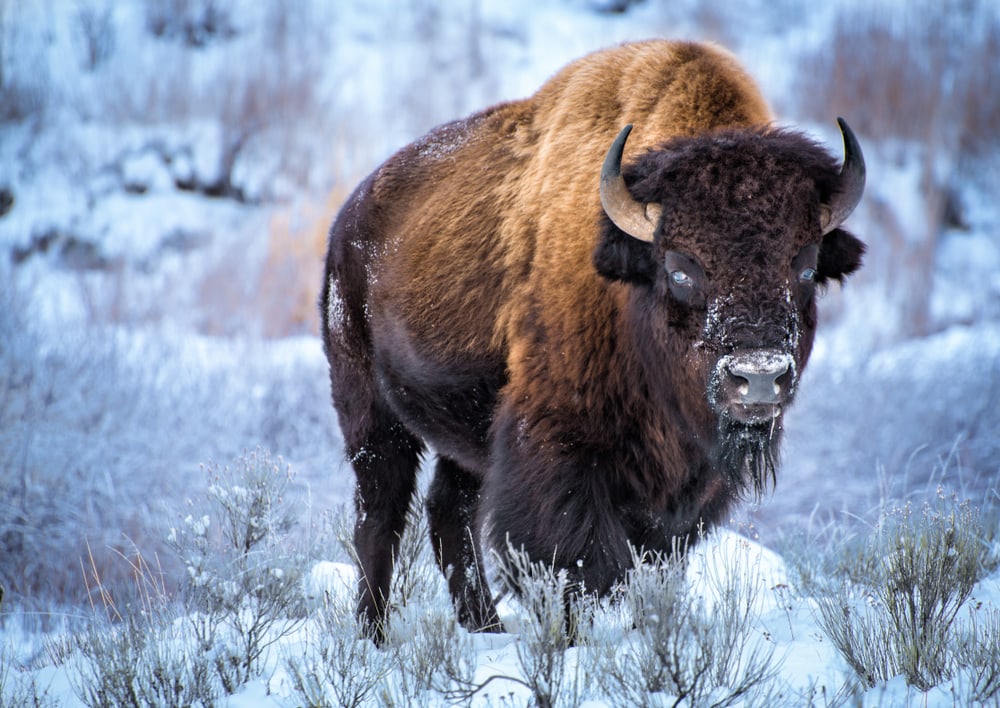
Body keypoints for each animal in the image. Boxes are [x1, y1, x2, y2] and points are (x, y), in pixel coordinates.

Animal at [320, 39, 866, 637]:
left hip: (464, 434)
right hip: (370, 413)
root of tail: (349, 220)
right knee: (381, 516)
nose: (759, 377)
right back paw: (373, 633)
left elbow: (653, 558)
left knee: (448, 511)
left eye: (806, 265)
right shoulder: (560, 449)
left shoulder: (688, 485)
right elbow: (580, 562)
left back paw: (486, 627)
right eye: (680, 268)